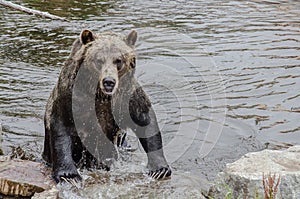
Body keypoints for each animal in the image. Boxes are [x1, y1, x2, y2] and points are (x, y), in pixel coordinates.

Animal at [43, 28, 172, 183]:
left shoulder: (127, 97)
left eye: (119, 60)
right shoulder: (70, 99)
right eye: (99, 60)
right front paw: (69, 175)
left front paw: (159, 169)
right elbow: (62, 129)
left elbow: (145, 121)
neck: (101, 95)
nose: (109, 81)